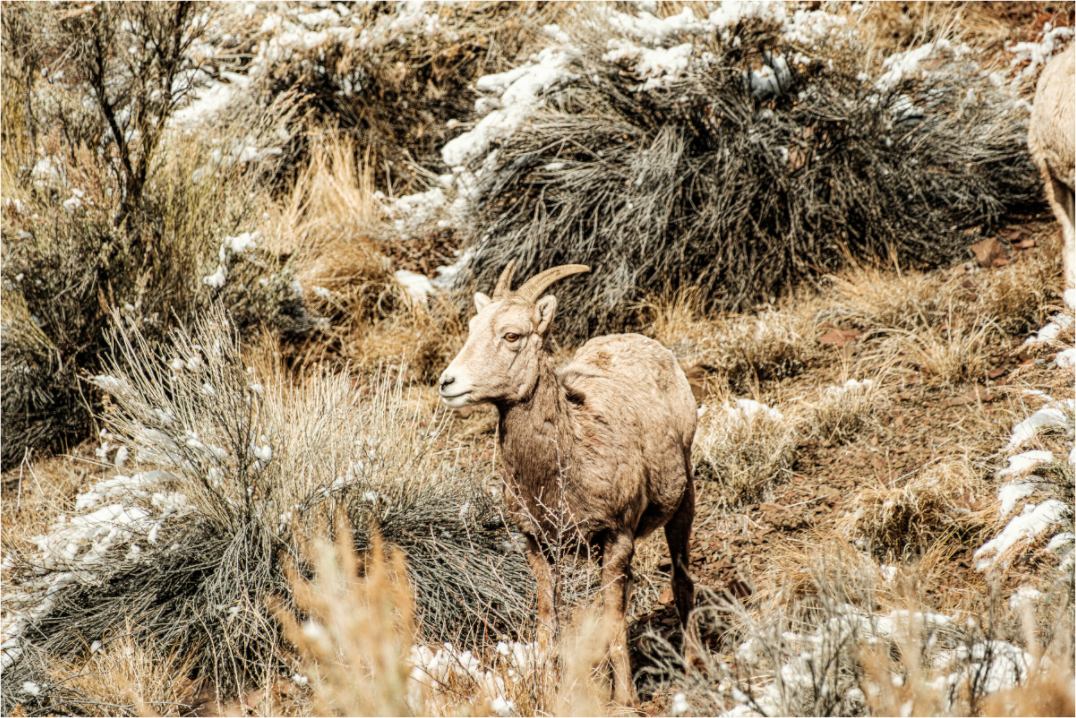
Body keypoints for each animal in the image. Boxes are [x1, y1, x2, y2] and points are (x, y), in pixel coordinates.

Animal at [438, 262, 697, 706]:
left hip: (682, 503)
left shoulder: (617, 537)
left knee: (682, 581)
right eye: (472, 327)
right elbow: (548, 621)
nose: (448, 382)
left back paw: (697, 664)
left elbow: (614, 620)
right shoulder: (538, 546)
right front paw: (546, 692)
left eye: (512, 335)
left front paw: (624, 702)